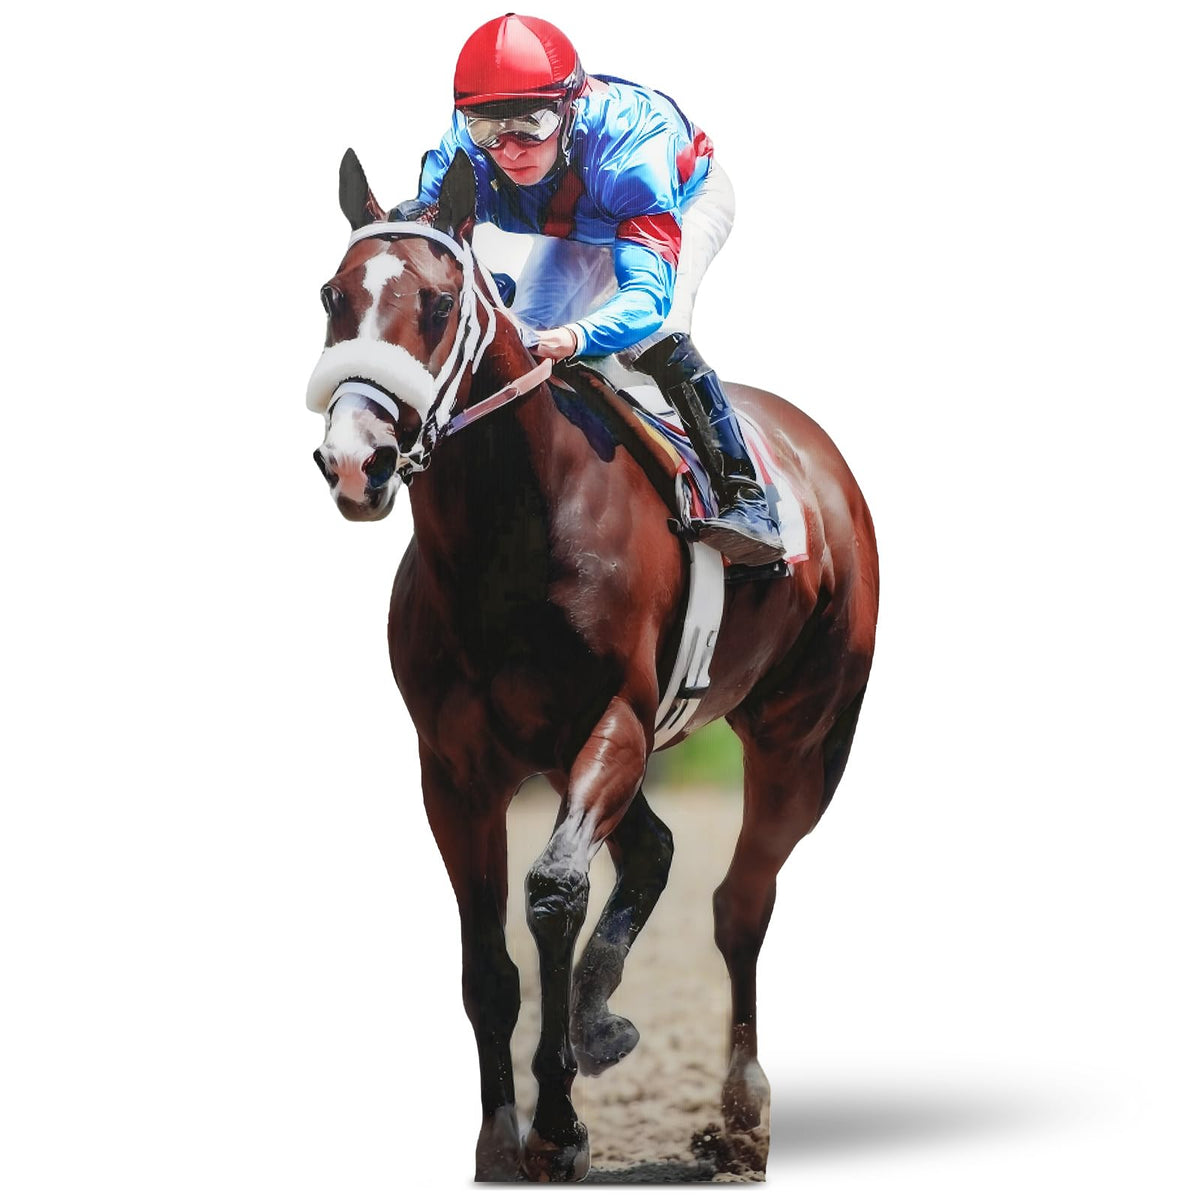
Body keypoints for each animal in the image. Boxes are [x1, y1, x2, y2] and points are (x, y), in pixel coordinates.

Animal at [308, 148, 879, 1182]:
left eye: (440, 302)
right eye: (334, 294)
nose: (354, 462)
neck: (511, 531)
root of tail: (822, 463)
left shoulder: (611, 720)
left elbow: (553, 892)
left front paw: (560, 1124)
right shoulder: (456, 768)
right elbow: (487, 967)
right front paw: (503, 1137)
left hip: (803, 737)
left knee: (742, 901)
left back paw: (741, 1114)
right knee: (656, 851)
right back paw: (609, 1021)